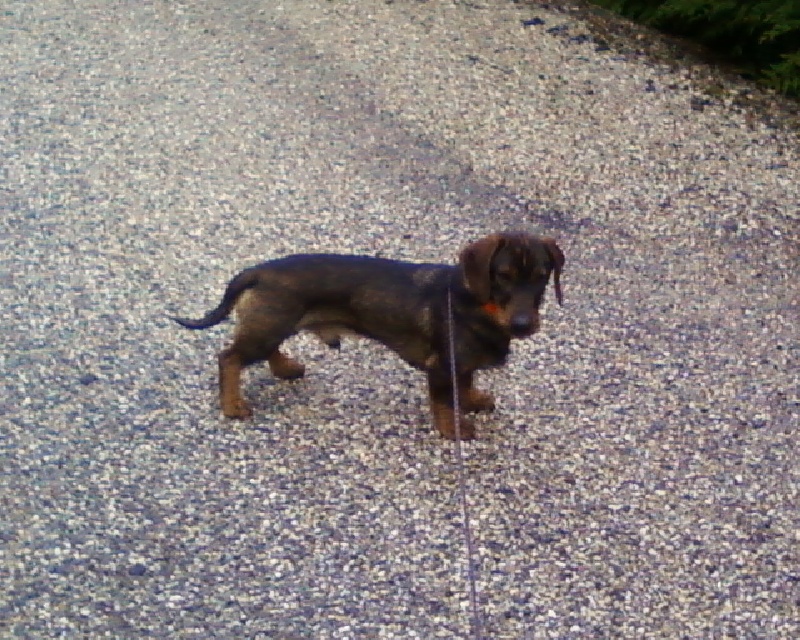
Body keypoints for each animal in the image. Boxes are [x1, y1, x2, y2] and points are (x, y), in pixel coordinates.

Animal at [173, 233, 564, 440]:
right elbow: (443, 402)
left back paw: (285, 368)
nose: (523, 324)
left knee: (267, 350)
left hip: (276, 323)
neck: (478, 304)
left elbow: (465, 384)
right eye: (503, 275)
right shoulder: (441, 366)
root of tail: (257, 272)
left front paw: (472, 400)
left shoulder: (460, 364)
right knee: (229, 358)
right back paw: (232, 405)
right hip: (267, 327)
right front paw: (453, 427)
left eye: (542, 276)